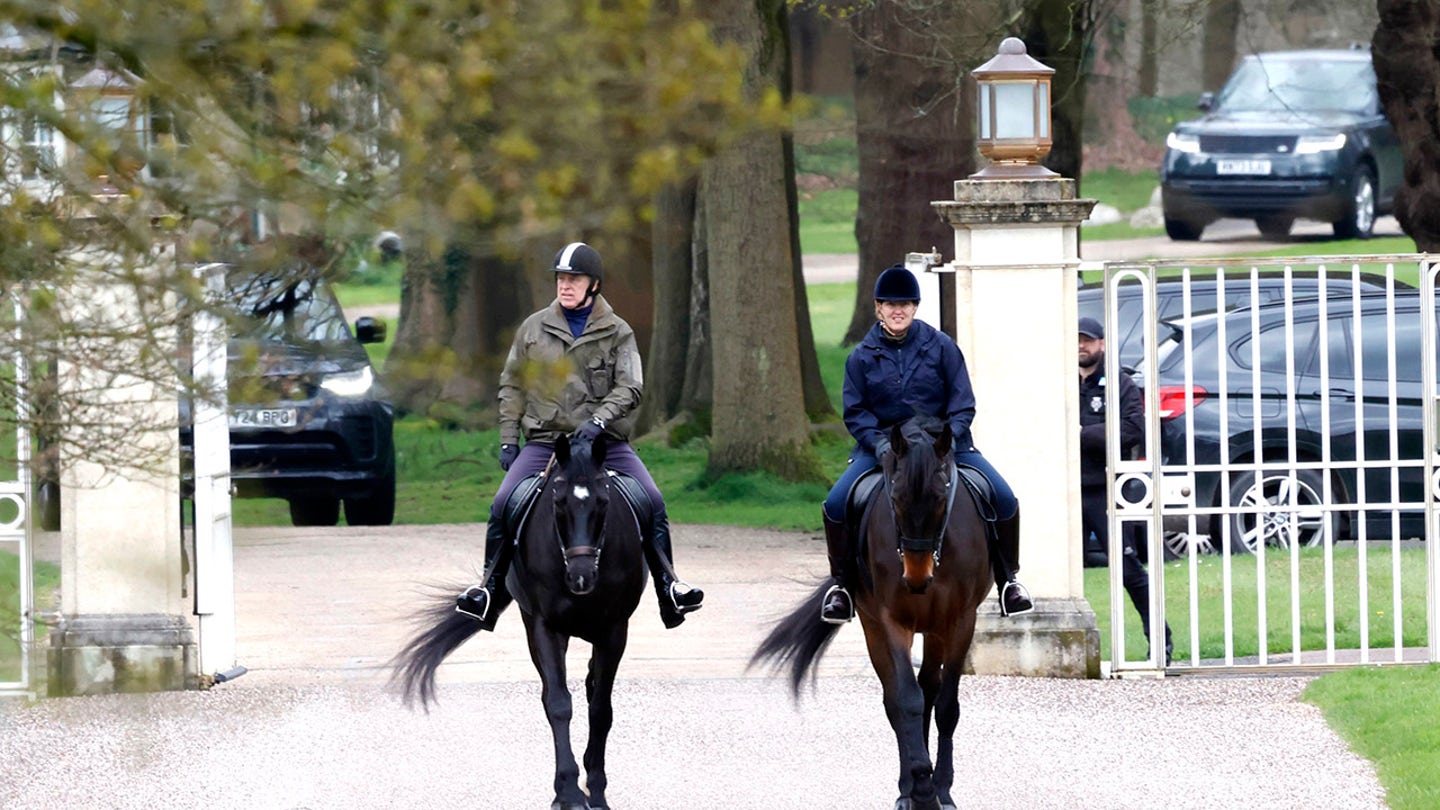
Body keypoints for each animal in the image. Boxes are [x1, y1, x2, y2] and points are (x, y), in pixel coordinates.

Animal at [391, 435, 645, 807]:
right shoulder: (545, 626)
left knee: (591, 686)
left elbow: (600, 709)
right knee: (552, 693)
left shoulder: (614, 630)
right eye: (558, 501)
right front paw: (569, 791)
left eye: (603, 501)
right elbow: (558, 704)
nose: (581, 577)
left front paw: (596, 791)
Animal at [748, 415, 996, 807]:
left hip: (935, 629)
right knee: (895, 701)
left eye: (941, 498)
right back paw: (907, 787)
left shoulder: (960, 621)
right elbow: (906, 701)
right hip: (873, 625)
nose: (916, 577)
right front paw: (920, 787)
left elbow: (946, 705)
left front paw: (941, 790)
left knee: (929, 687)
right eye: (895, 498)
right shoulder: (893, 620)